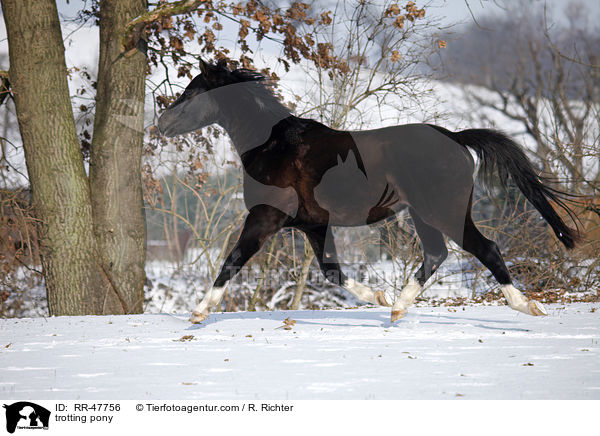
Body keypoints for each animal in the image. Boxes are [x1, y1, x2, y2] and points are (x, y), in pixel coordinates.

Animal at [157, 59, 580, 322]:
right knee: (436, 254)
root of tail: (456, 138)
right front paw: (378, 297)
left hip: (444, 211)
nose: (161, 123)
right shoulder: (312, 225)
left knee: (486, 248)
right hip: (422, 214)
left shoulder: (265, 217)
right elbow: (332, 272)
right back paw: (397, 309)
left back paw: (528, 307)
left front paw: (198, 312)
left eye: (192, 93)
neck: (274, 146)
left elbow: (232, 260)